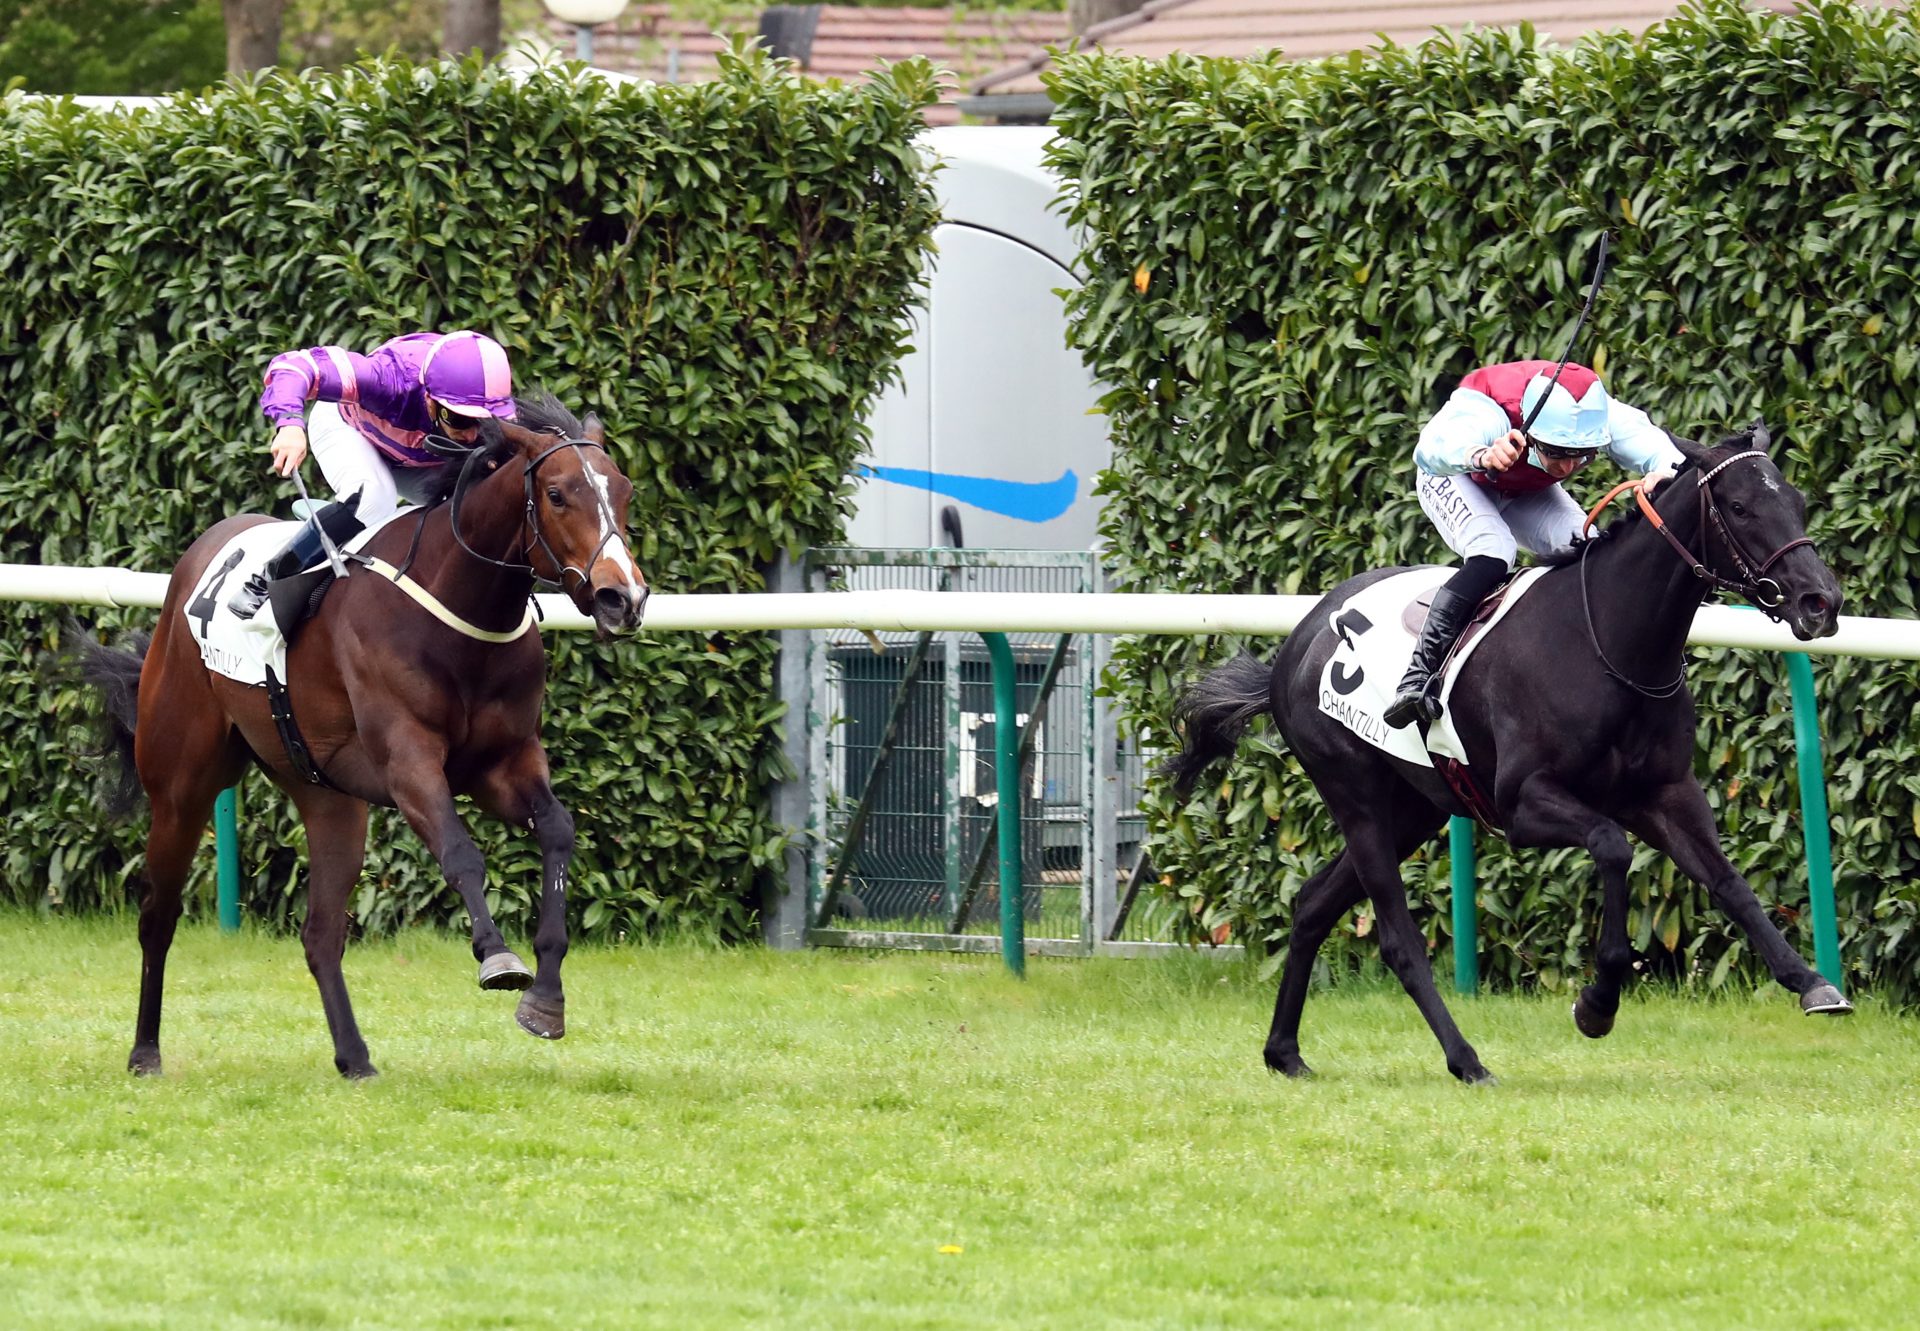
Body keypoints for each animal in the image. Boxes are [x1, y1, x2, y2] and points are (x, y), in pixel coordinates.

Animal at [78, 389, 648, 1075]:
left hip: (328, 797)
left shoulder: (504, 763)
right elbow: (461, 851)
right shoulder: (409, 761)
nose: (623, 598)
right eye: (559, 494)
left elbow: (559, 831)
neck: (459, 607)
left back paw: (354, 1057)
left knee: (321, 934)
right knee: (157, 916)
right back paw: (144, 1052)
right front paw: (496, 956)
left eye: (623, 491)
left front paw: (546, 997)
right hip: (181, 787)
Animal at [1159, 426, 1850, 1083]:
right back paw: (1466, 1060)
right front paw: (1597, 1002)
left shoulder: (1665, 793)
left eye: (1795, 501)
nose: (1822, 602)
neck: (1609, 642)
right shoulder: (1524, 805)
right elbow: (1612, 848)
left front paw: (1812, 982)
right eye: (1740, 507)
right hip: (1356, 796)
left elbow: (1730, 883)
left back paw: (1284, 1051)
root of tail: (1298, 642)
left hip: (1414, 809)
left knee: (1311, 905)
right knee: (1398, 942)